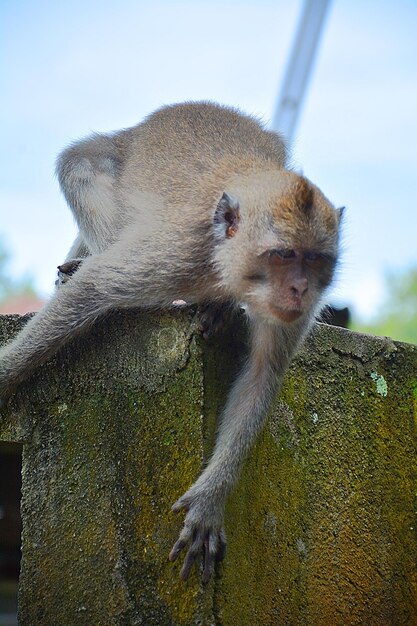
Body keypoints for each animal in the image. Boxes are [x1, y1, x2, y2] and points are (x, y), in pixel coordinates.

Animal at [0, 100, 342, 584]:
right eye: (283, 255)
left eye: (315, 260)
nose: (301, 290)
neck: (224, 261)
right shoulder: (174, 255)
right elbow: (96, 287)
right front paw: (3, 379)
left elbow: (262, 376)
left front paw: (210, 500)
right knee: (80, 166)